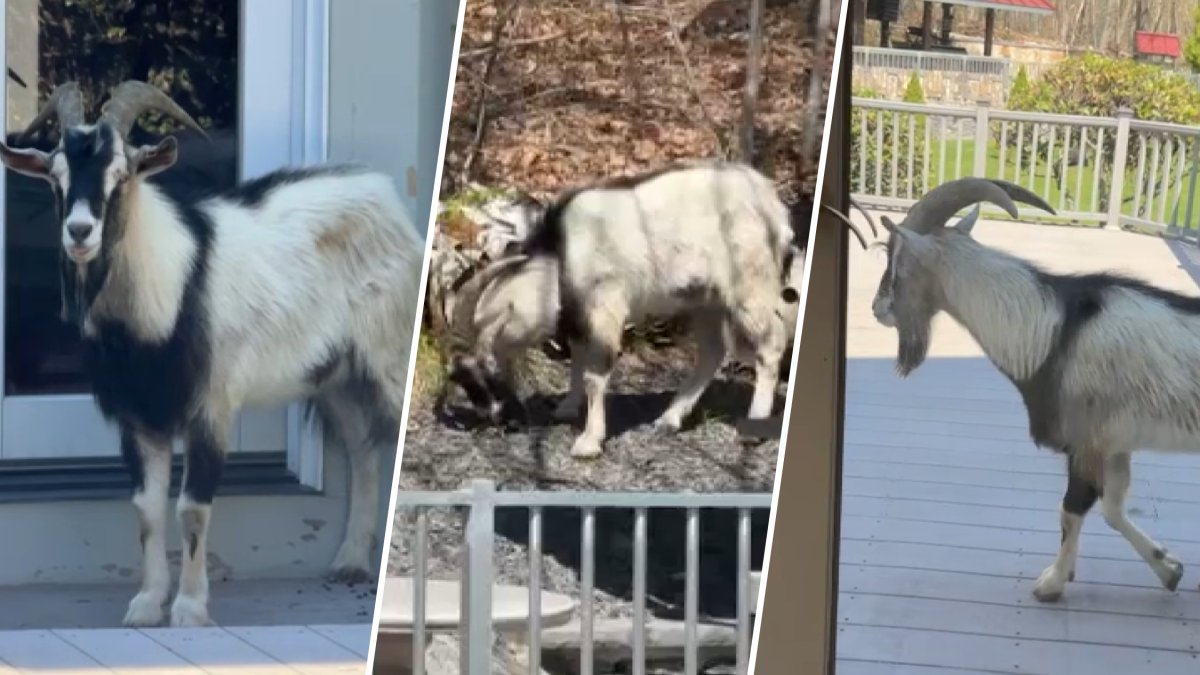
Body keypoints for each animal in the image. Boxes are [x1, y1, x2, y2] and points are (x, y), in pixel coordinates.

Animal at [0, 81, 423, 627]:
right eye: (56, 176)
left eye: (122, 174)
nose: (78, 232)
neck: (168, 290)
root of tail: (385, 196)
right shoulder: (139, 415)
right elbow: (147, 507)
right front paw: (145, 603)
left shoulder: (211, 404)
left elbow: (192, 507)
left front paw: (189, 608)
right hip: (334, 374)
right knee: (361, 449)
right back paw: (349, 561)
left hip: (387, 355)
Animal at [869, 175, 1200, 602]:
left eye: (895, 259)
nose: (877, 308)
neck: (1048, 334)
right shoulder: (1113, 443)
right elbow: (1112, 508)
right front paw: (1169, 569)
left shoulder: (1086, 440)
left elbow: (1071, 509)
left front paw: (1051, 584)